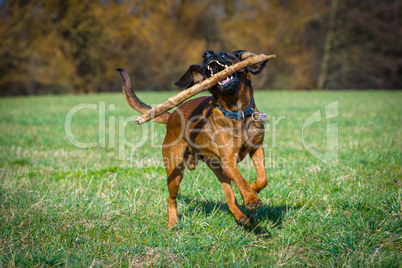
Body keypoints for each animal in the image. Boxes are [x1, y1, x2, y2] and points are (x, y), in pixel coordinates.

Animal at [118, 49, 272, 227]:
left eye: (224, 54)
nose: (207, 53)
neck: (236, 112)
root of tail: (172, 115)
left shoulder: (256, 149)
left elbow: (262, 178)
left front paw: (253, 188)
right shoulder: (229, 162)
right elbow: (241, 180)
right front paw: (251, 198)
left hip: (218, 169)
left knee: (229, 196)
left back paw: (242, 217)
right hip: (175, 171)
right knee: (170, 199)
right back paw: (173, 224)